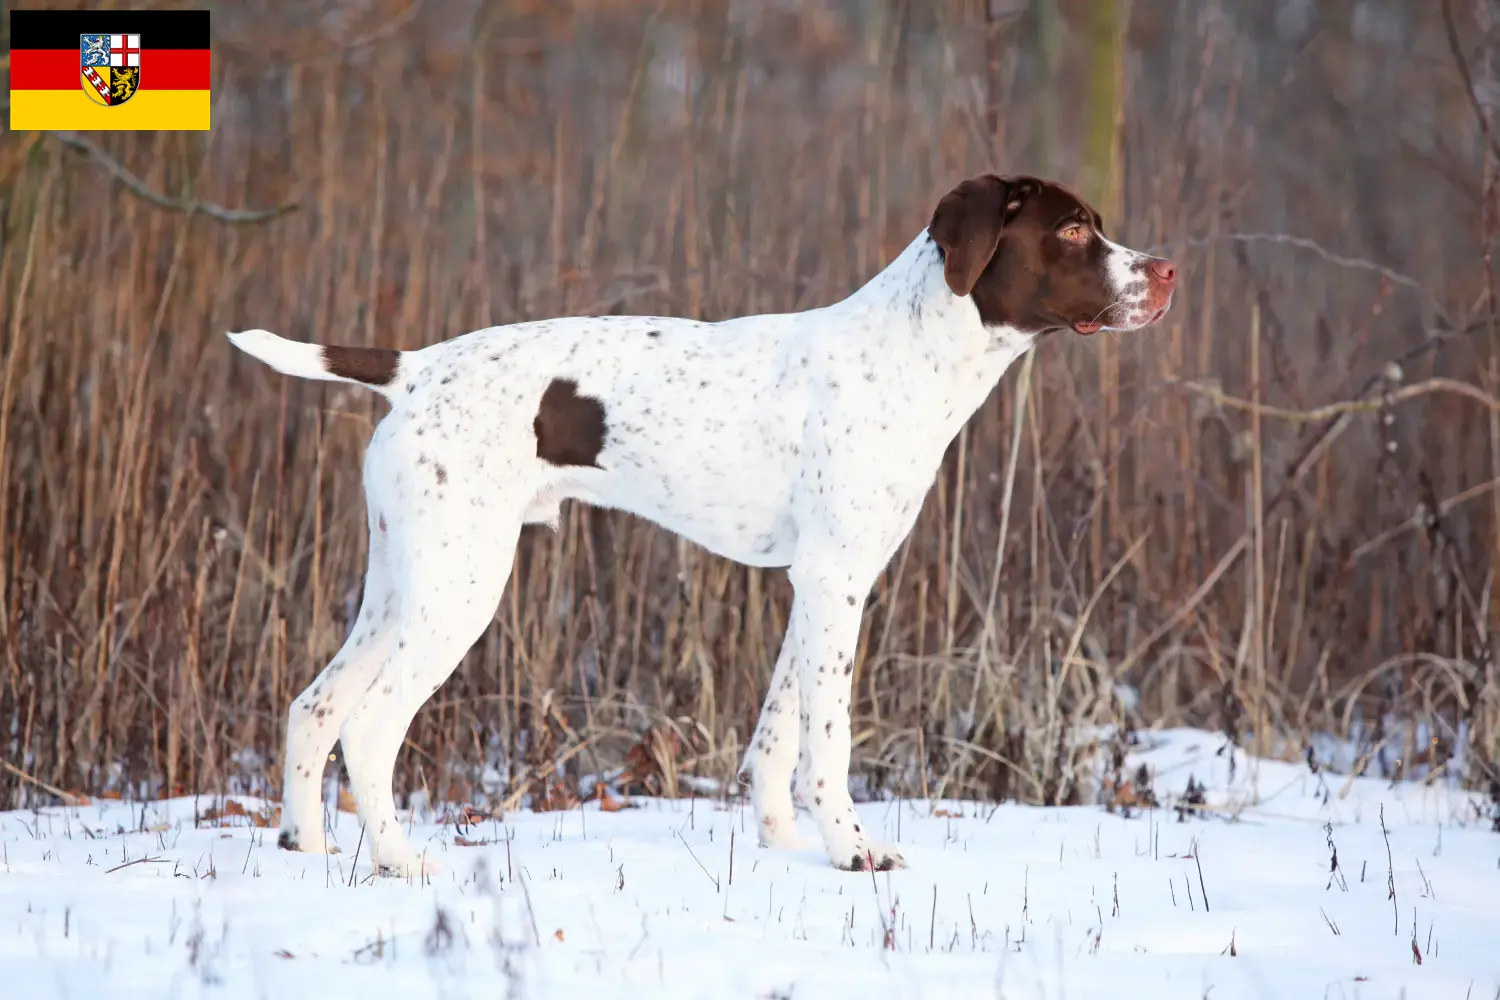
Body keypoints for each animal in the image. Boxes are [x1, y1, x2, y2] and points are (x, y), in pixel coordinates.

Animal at [228, 176, 1176, 881]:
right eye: (1073, 230)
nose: (1167, 271)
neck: (909, 356)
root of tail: (417, 368)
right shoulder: (835, 581)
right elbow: (827, 744)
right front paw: (853, 852)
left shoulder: (819, 585)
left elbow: (778, 732)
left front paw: (784, 843)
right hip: (459, 590)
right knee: (368, 725)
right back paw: (398, 861)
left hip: (402, 583)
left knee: (313, 707)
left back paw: (306, 851)